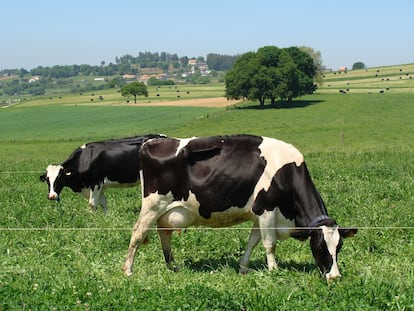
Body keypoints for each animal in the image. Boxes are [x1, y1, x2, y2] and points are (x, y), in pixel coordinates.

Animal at [122, 135, 356, 282]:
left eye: (339, 247)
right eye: (319, 247)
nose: (335, 276)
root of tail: (150, 142)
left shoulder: (258, 214)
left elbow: (253, 241)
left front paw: (244, 267)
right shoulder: (267, 209)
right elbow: (270, 244)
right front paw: (274, 270)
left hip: (166, 211)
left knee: (164, 234)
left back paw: (172, 267)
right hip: (153, 205)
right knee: (137, 233)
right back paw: (128, 270)